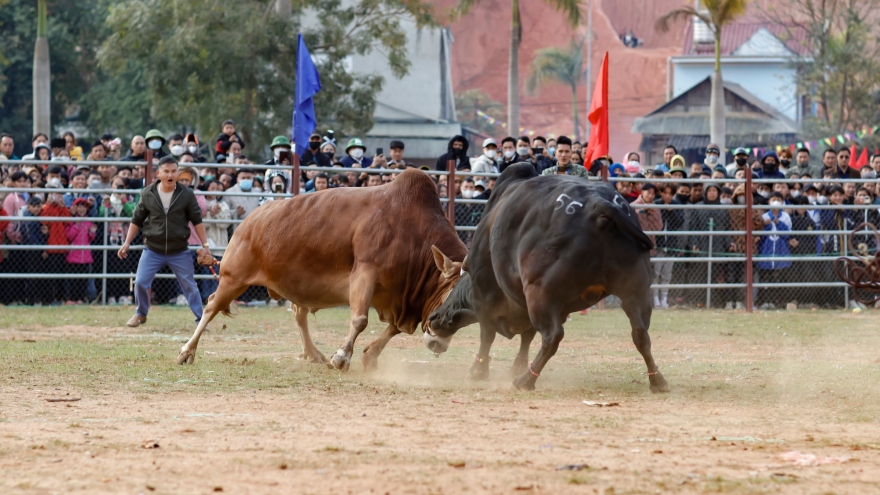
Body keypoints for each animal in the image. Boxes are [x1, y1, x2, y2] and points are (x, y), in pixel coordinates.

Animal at [177, 169, 468, 370]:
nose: (439, 344)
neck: (413, 233)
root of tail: (249, 221)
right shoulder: (365, 273)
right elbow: (360, 320)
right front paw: (342, 357)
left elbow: (393, 329)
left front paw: (370, 355)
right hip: (233, 277)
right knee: (211, 306)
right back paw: (187, 350)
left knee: (299, 314)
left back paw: (312, 352)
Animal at [426, 165, 668, 394]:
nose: (433, 318)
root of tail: (600, 205)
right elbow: (526, 336)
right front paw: (517, 366)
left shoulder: (484, 294)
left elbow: (488, 334)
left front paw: (479, 370)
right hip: (636, 291)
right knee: (641, 334)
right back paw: (657, 379)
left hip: (540, 293)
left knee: (552, 336)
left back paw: (526, 380)